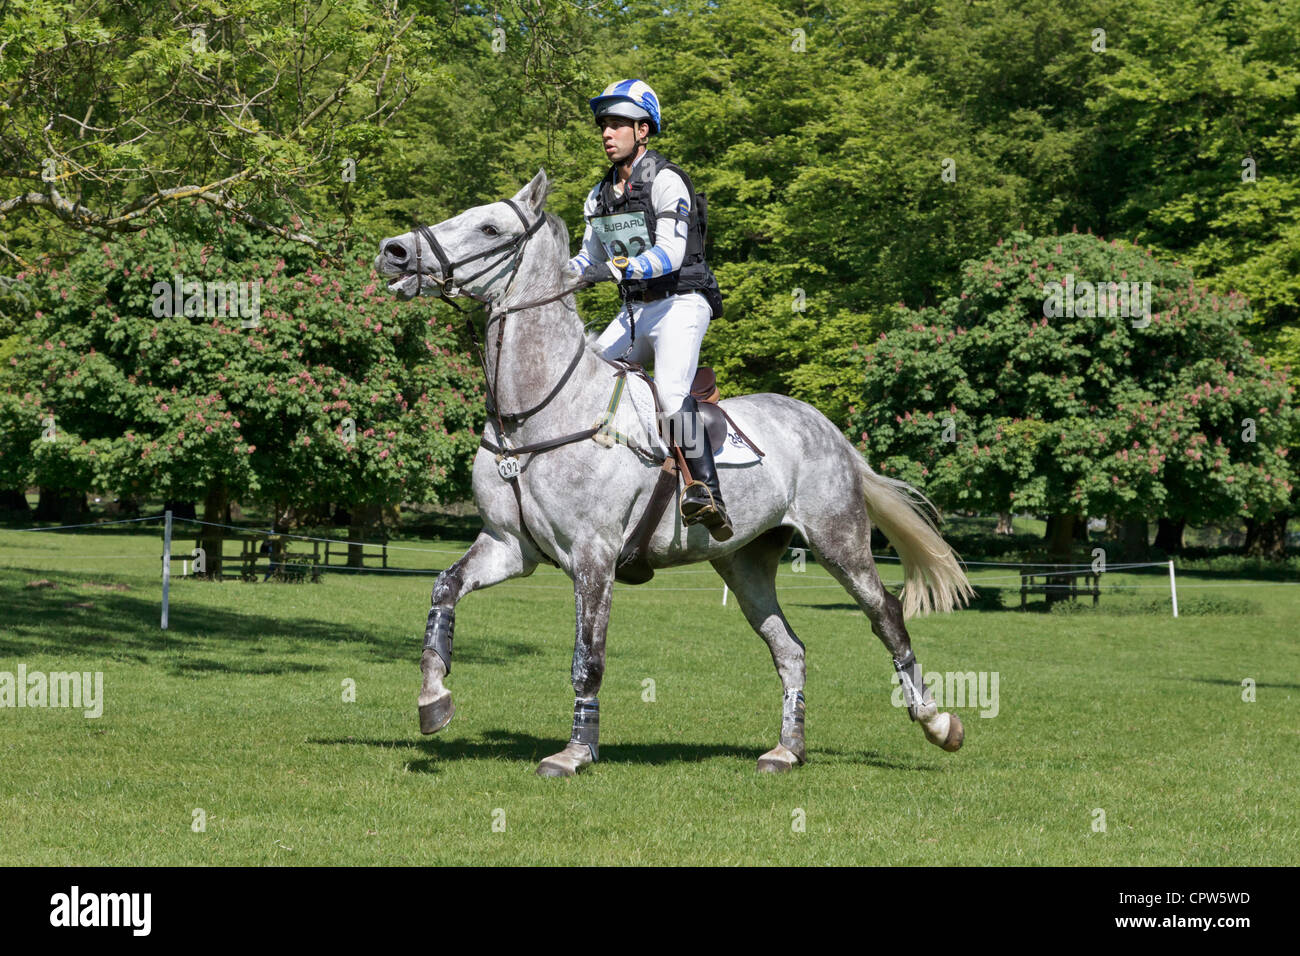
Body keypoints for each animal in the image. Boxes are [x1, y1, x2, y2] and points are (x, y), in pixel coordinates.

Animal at [371, 166, 972, 780]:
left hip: (838, 539)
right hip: (744, 562)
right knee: (790, 649)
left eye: (490, 227)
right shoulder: (509, 546)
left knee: (885, 615)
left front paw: (574, 753)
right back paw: (786, 750)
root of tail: (825, 426)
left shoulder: (593, 556)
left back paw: (938, 723)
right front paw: (433, 700)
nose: (394, 251)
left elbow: (588, 658)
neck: (532, 416)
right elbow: (444, 591)